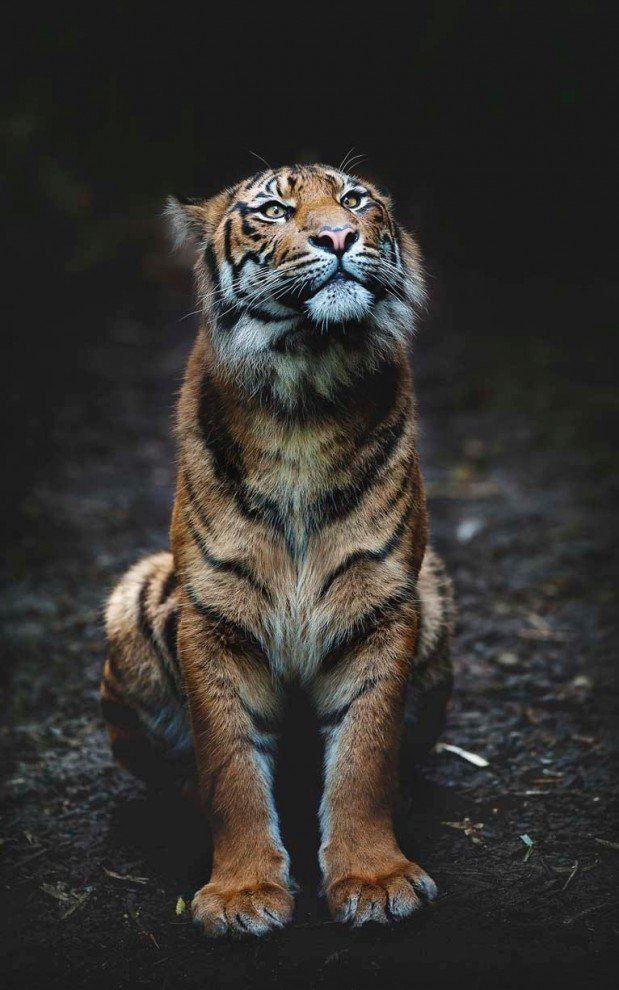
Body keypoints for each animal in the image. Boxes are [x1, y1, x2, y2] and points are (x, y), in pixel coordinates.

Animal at [101, 163, 454, 936]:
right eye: (272, 211)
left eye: (354, 200)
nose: (339, 237)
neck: (305, 395)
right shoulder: (214, 616)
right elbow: (230, 767)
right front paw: (241, 894)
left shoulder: (382, 604)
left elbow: (363, 757)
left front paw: (374, 879)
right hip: (133, 600)